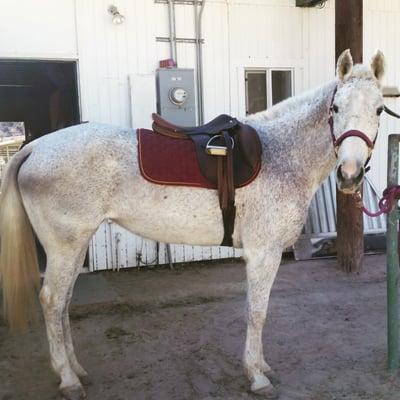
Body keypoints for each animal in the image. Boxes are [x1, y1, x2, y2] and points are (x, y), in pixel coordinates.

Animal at [0, 50, 386, 400]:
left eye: (380, 109)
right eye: (335, 109)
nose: (350, 174)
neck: (281, 155)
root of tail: (34, 148)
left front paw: (260, 366)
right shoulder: (264, 253)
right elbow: (257, 312)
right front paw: (257, 376)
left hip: (73, 246)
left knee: (63, 303)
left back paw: (76, 369)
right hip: (65, 246)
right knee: (52, 301)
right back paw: (68, 379)